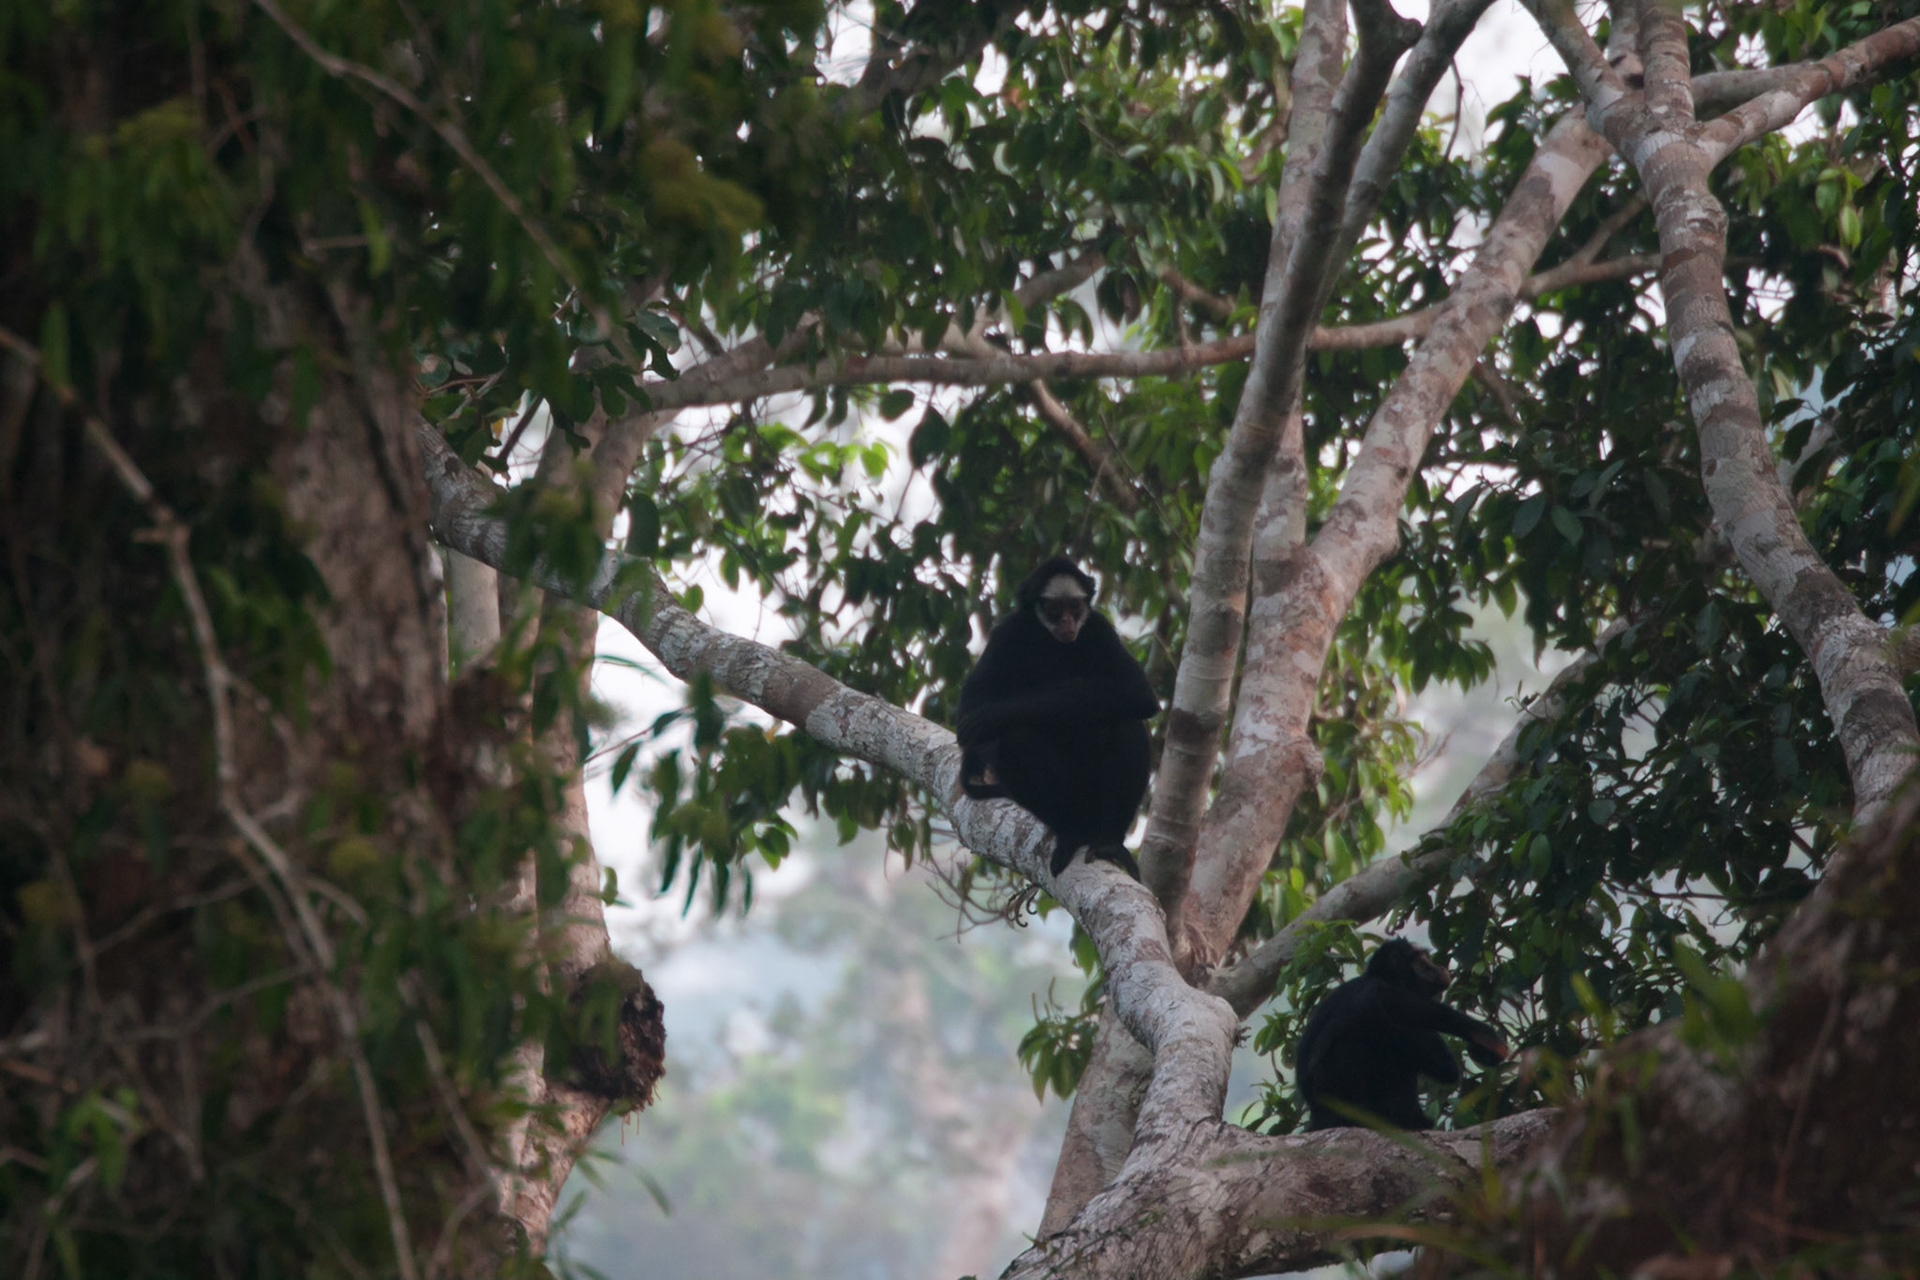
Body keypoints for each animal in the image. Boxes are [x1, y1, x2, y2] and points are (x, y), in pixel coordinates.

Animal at [956, 556, 1158, 878]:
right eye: (1054, 610)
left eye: (1075, 608)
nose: (1067, 622)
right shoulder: (1008, 633)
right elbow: (969, 710)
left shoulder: (1098, 627)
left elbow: (1138, 693)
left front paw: (995, 713)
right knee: (1016, 738)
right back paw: (1073, 832)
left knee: (1127, 722)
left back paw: (1108, 843)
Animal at [1294, 938, 1510, 1132]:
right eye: (1423, 961)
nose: (1439, 967)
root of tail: (1318, 1114)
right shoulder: (1382, 992)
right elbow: (1443, 1063)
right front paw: (1482, 1034)